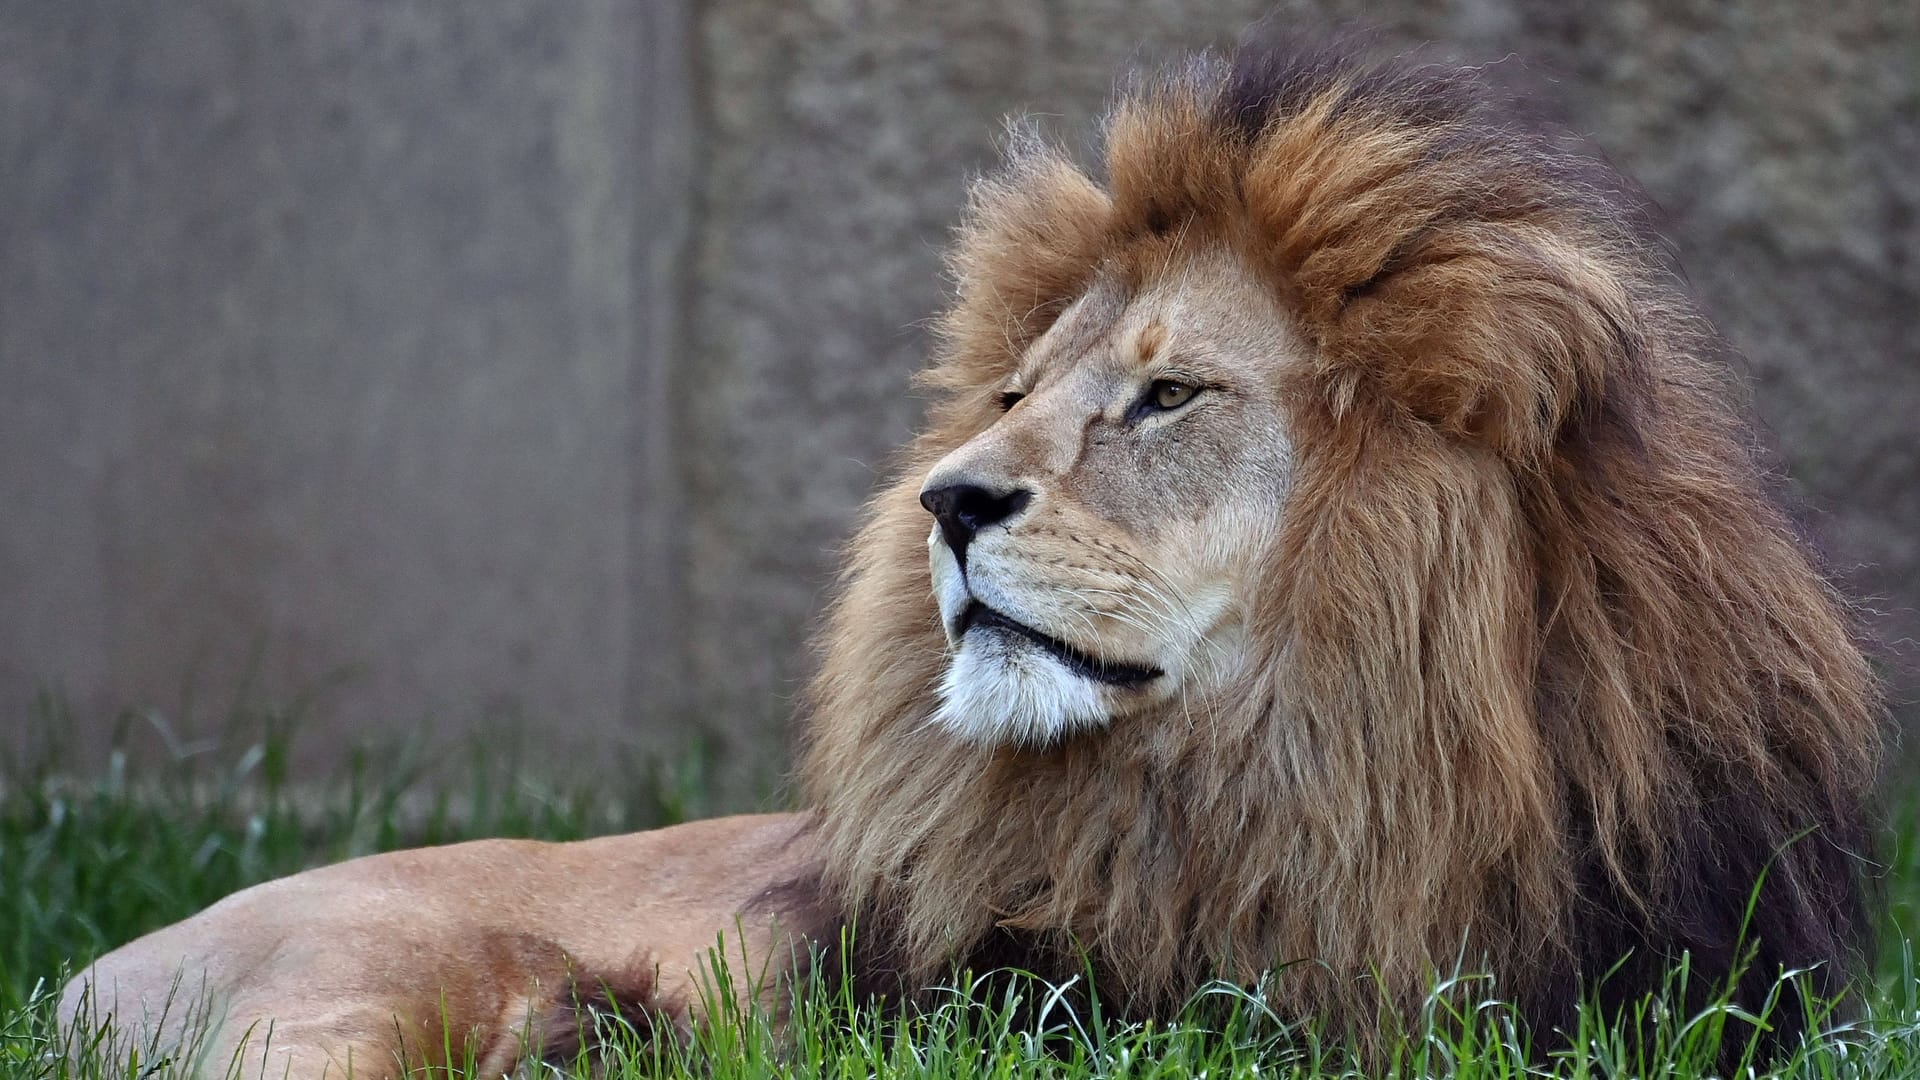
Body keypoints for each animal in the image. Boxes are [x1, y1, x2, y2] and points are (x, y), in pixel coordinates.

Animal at [60, 29, 1873, 1068]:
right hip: (363, 991)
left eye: (1164, 394)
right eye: (1013, 395)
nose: (946, 500)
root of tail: (86, 977)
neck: (1294, 780)